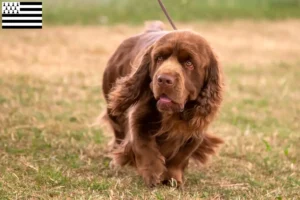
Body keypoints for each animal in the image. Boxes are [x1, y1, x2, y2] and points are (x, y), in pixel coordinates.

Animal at [102, 21, 224, 188]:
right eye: (159, 58)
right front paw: (153, 174)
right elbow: (143, 145)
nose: (164, 79)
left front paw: (173, 178)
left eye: (189, 63)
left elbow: (181, 155)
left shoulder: (196, 128)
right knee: (119, 134)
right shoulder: (138, 117)